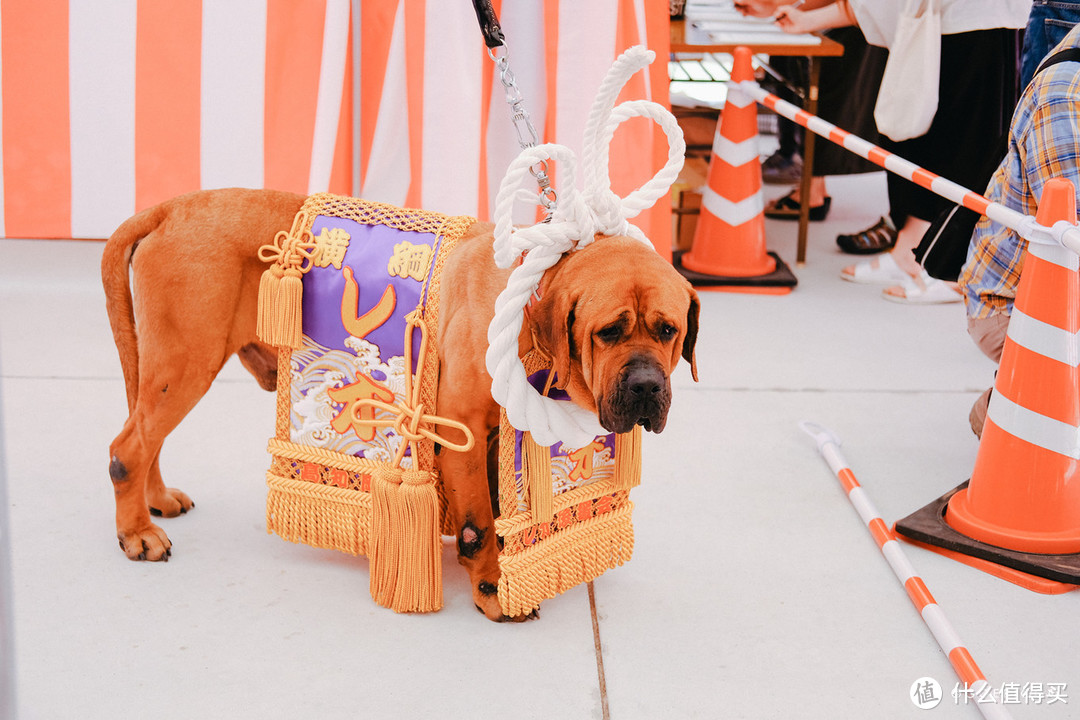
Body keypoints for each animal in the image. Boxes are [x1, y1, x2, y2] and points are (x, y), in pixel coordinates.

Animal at [103, 188, 699, 621]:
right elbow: (481, 521)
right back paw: (137, 534)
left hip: (166, 371)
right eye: (608, 332)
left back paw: (156, 501)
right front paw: (491, 589)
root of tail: (170, 207)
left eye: (669, 330)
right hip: (185, 363)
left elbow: (499, 512)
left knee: (145, 435)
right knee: (128, 447)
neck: (531, 305)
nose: (646, 385)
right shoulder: (460, 428)